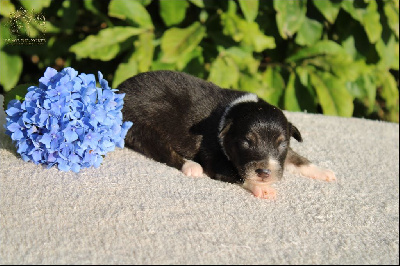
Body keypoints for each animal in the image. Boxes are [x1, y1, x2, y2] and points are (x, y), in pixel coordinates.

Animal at [118, 69, 334, 198]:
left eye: (281, 144)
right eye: (247, 142)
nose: (265, 174)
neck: (229, 114)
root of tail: (121, 90)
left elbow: (296, 158)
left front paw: (323, 171)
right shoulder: (214, 157)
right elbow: (237, 174)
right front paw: (262, 187)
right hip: (140, 128)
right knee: (163, 151)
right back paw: (191, 166)